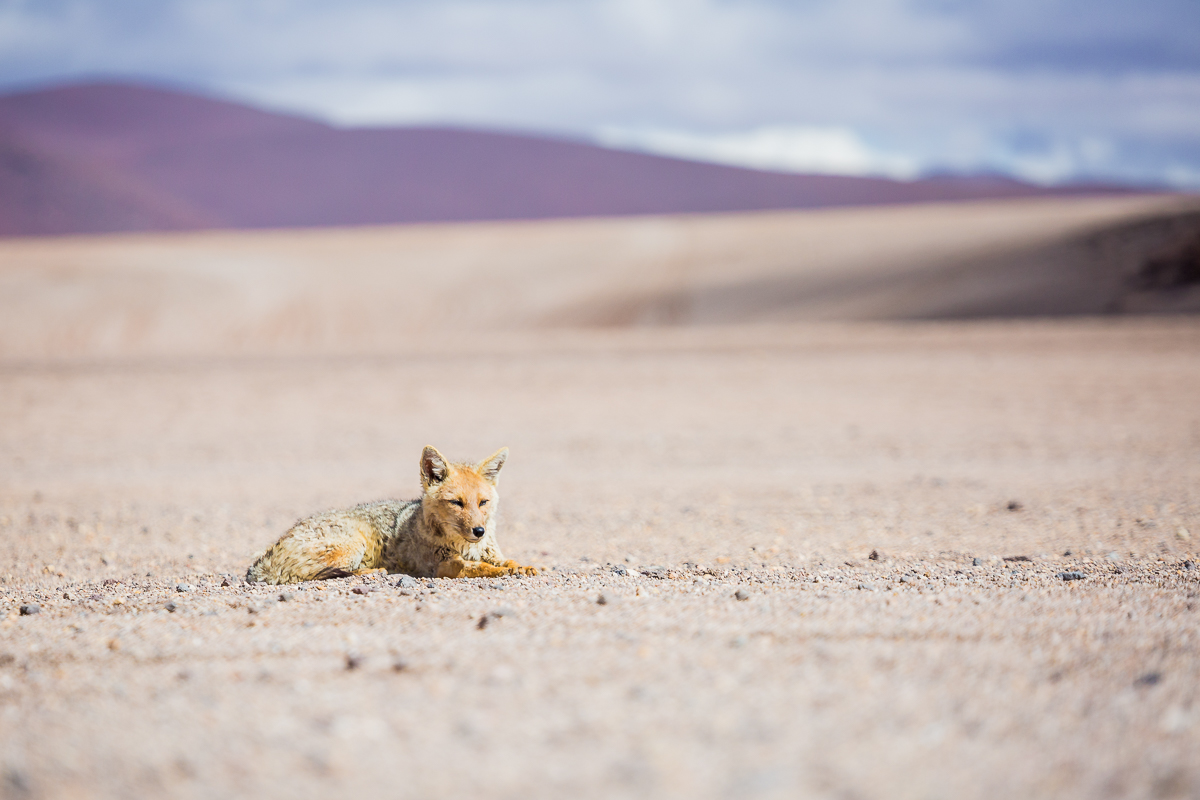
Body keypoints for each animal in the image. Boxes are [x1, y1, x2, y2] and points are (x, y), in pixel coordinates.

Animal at [246, 448, 537, 585]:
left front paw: (524, 566)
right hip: (353, 544)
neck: (466, 547)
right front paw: (503, 571)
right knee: (315, 573)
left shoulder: (489, 552)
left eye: (483, 503)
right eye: (457, 503)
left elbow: (506, 560)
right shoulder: (443, 566)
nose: (479, 531)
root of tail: (261, 562)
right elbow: (479, 567)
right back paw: (374, 571)